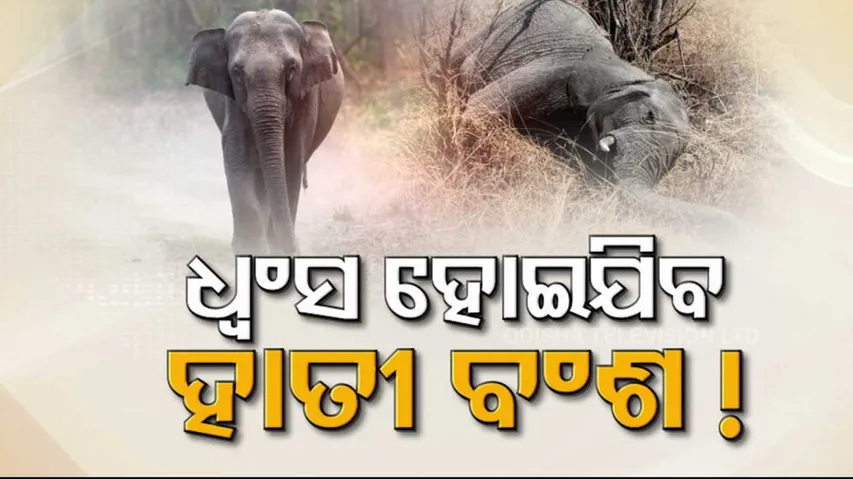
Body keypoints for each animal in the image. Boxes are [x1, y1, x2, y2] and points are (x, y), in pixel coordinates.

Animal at [186, 9, 345, 255]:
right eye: (237, 72)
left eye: (292, 68)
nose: (296, 249)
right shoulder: (232, 99)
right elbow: (236, 153)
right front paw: (251, 248)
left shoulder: (306, 97)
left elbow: (291, 159)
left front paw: (277, 250)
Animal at [445, 0, 740, 232]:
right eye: (648, 116)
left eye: (676, 158)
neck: (628, 73)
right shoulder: (554, 73)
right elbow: (478, 109)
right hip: (503, 20)